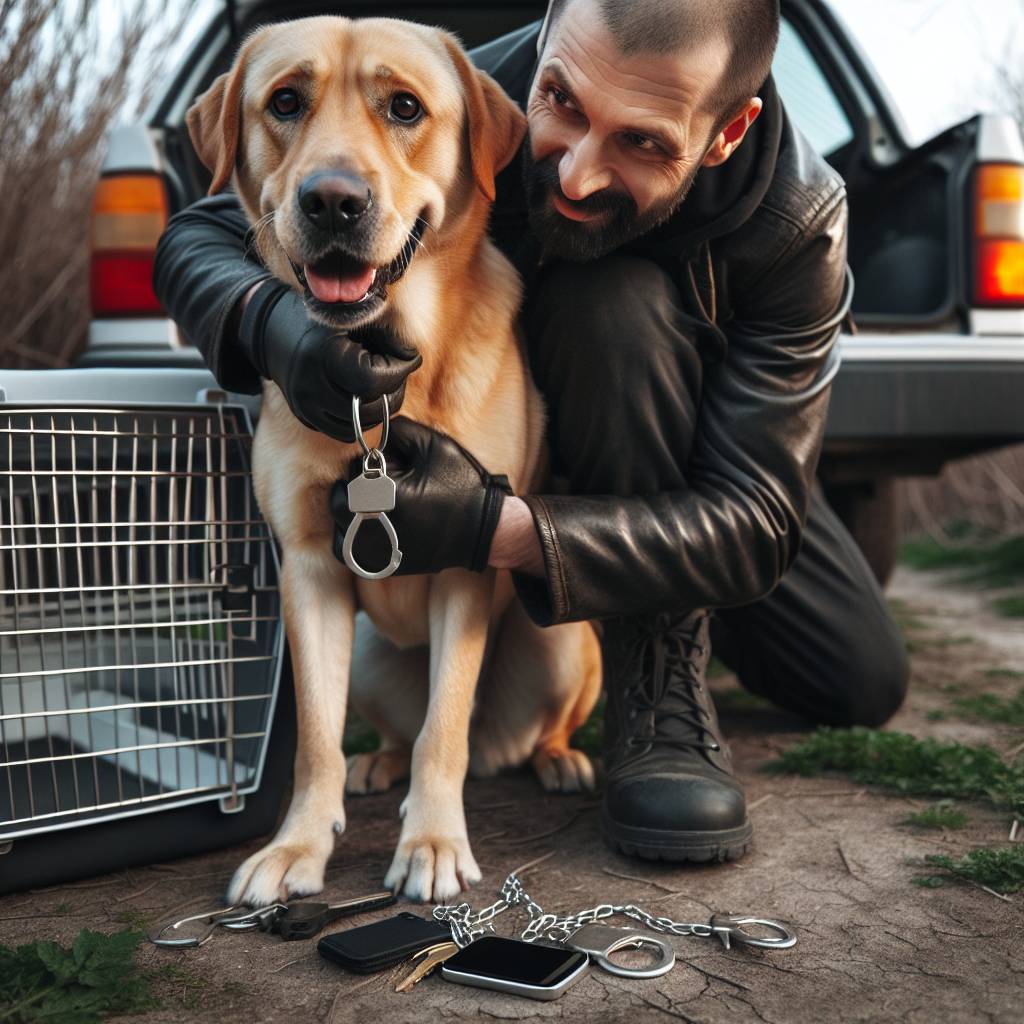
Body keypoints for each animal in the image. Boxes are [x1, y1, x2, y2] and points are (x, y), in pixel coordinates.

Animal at [186, 18, 598, 905]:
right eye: (285, 102)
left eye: (405, 107)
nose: (333, 201)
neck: (378, 378)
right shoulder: (308, 569)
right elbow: (315, 738)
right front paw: (297, 847)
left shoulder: (468, 556)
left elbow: (442, 731)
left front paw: (433, 843)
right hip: (372, 658)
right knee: (385, 735)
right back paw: (375, 764)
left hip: (561, 643)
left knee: (502, 731)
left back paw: (558, 760)